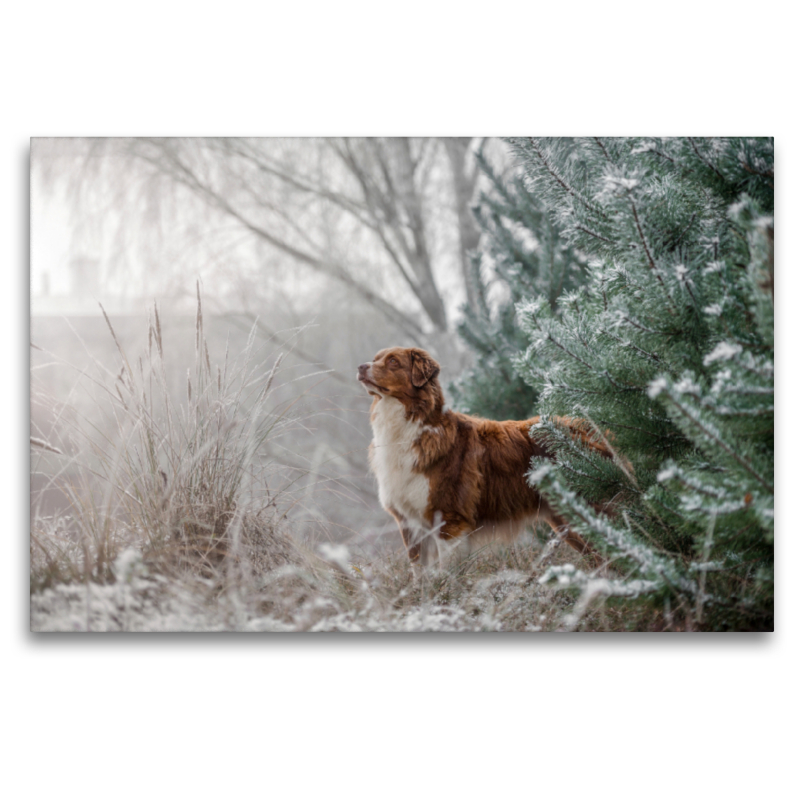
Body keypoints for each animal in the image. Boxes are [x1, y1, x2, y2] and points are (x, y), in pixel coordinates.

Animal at [356, 346, 612, 568]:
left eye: (393, 362)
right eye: (375, 358)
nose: (360, 366)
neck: (410, 428)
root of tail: (587, 426)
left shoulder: (449, 520)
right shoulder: (410, 524)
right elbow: (421, 576)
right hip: (566, 521)